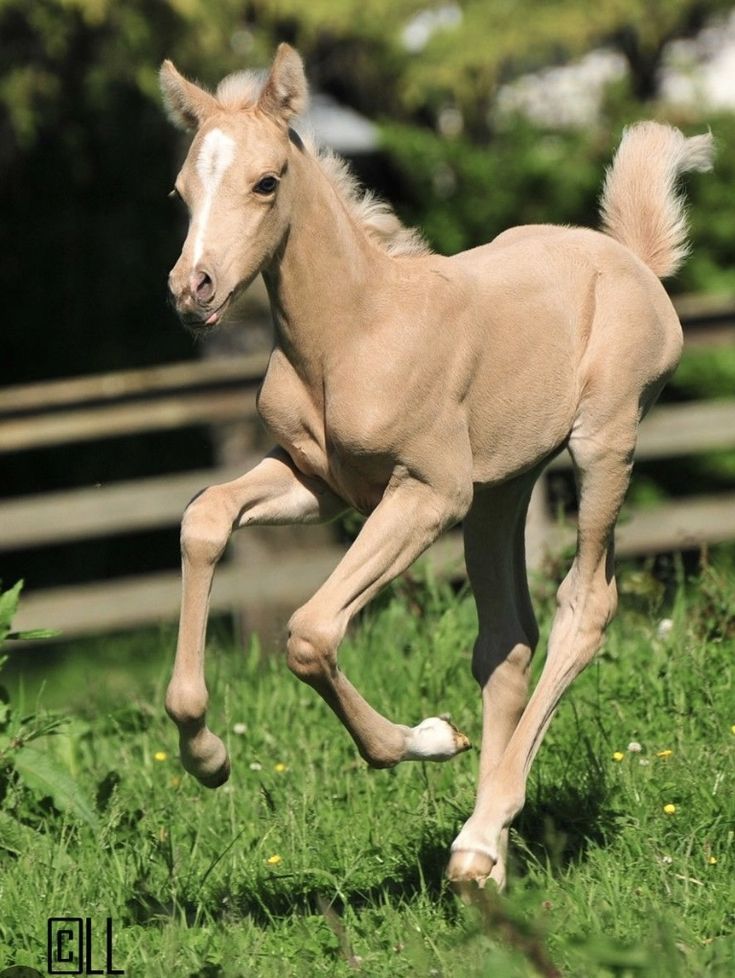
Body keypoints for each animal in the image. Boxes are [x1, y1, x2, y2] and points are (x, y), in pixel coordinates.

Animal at [160, 45, 712, 888]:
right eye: (182, 190)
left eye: (266, 182)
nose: (194, 290)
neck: (354, 332)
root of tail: (632, 259)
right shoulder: (317, 483)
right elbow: (204, 518)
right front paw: (208, 758)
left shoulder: (426, 495)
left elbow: (310, 632)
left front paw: (428, 737)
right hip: (500, 490)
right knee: (506, 641)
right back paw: (489, 862)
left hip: (600, 448)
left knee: (584, 606)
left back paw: (478, 838)